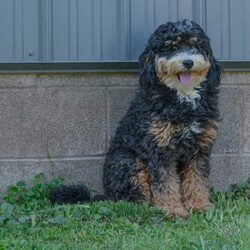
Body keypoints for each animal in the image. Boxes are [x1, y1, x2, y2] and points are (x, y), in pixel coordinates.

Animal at [50, 19, 221, 219]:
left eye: (195, 45)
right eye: (171, 47)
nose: (188, 62)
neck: (183, 98)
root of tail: (106, 195)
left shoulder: (200, 147)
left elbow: (197, 179)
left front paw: (200, 205)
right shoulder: (159, 148)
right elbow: (165, 184)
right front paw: (173, 210)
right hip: (129, 161)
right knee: (133, 200)